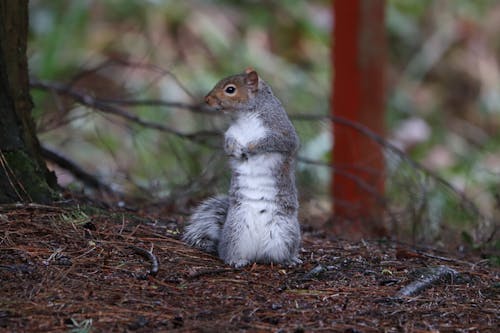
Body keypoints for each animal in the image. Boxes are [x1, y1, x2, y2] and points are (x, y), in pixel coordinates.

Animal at [184, 68, 300, 268]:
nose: (207, 99)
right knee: (231, 252)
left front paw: (250, 147)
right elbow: (228, 146)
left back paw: (287, 261)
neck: (245, 116)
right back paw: (236, 261)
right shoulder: (231, 133)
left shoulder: (282, 131)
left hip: (285, 232)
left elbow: (277, 142)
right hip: (236, 231)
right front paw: (236, 149)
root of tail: (257, 253)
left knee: (276, 255)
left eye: (230, 89)